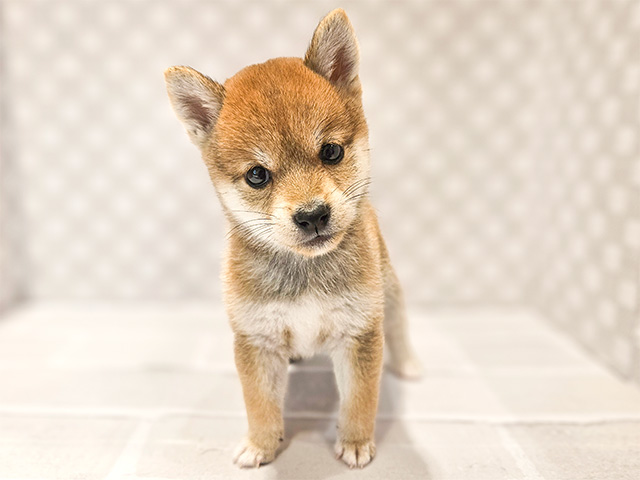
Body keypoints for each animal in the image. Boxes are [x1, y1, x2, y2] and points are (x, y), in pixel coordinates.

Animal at [164, 8, 420, 468]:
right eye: (257, 175)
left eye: (331, 152)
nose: (313, 215)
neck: (305, 272)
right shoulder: (256, 340)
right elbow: (260, 404)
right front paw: (261, 444)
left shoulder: (358, 334)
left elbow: (359, 399)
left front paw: (356, 442)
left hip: (387, 291)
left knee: (398, 323)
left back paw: (408, 364)